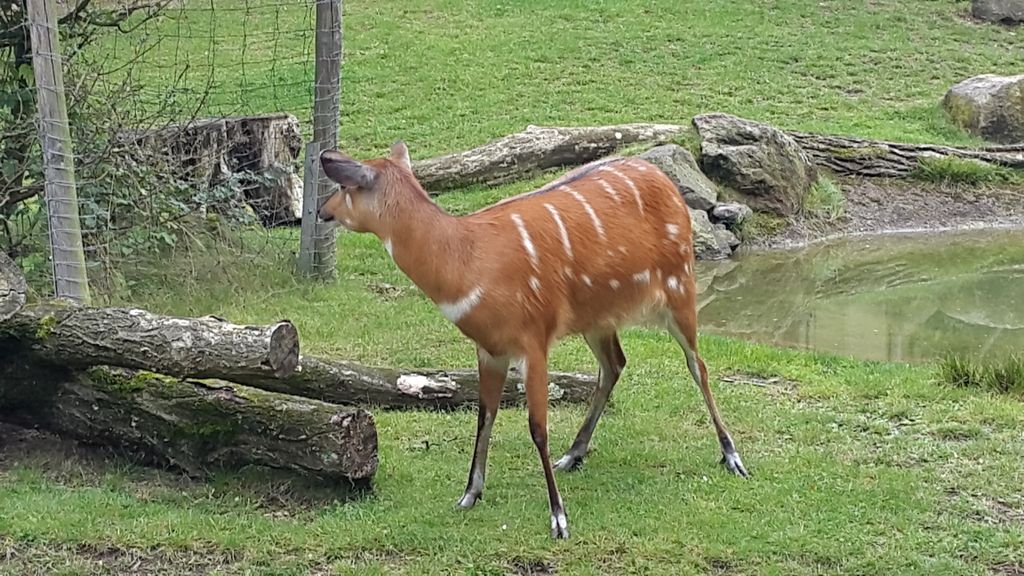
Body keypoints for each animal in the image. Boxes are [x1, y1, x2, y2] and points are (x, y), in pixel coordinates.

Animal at [319, 140, 753, 537]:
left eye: (344, 186)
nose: (323, 211)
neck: (466, 265)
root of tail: (665, 181)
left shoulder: (534, 340)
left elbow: (537, 427)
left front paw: (559, 518)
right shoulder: (489, 348)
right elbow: (485, 415)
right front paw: (469, 495)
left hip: (680, 287)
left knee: (697, 366)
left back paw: (732, 457)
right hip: (597, 317)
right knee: (615, 365)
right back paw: (573, 455)